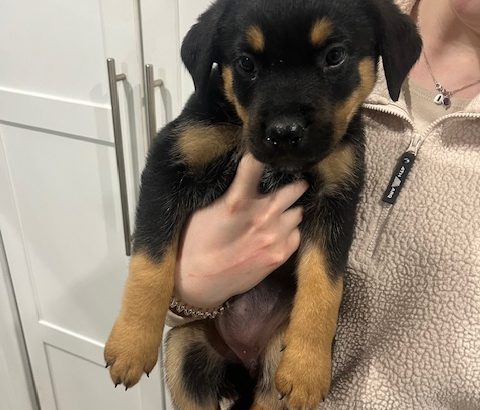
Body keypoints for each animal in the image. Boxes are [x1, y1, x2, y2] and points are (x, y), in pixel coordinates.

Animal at [104, 0, 420, 408]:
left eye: (335, 56)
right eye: (245, 63)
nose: (284, 132)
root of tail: (245, 363)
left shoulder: (337, 198)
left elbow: (325, 285)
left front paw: (308, 368)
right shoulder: (170, 164)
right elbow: (150, 259)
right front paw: (132, 342)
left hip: (271, 362)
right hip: (184, 349)